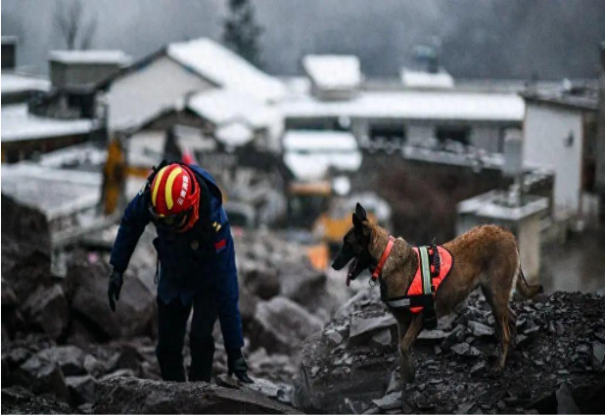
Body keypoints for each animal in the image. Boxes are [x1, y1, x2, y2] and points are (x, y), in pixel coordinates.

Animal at [330, 204, 544, 386]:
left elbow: (404, 347)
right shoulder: (402, 322)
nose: (332, 266)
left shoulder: (418, 317)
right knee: (512, 318)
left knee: (505, 332)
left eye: (347, 244)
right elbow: (401, 349)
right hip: (494, 295)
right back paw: (512, 352)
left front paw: (410, 374)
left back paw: (499, 366)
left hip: (495, 295)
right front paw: (405, 379)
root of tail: (506, 232)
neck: (385, 257)